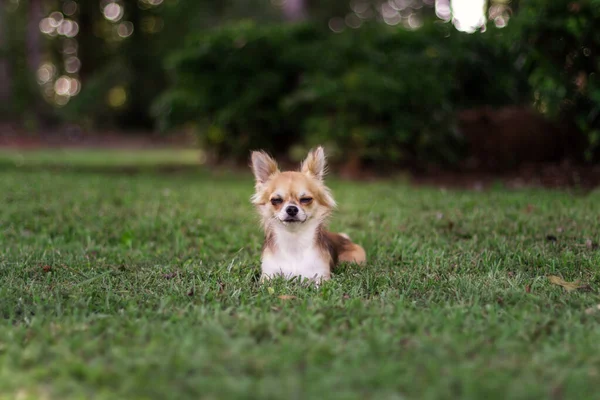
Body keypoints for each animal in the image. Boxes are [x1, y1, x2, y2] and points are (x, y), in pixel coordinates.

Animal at [250, 147, 366, 282]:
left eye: (306, 199)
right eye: (276, 200)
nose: (291, 209)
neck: (294, 242)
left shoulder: (321, 277)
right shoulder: (268, 275)